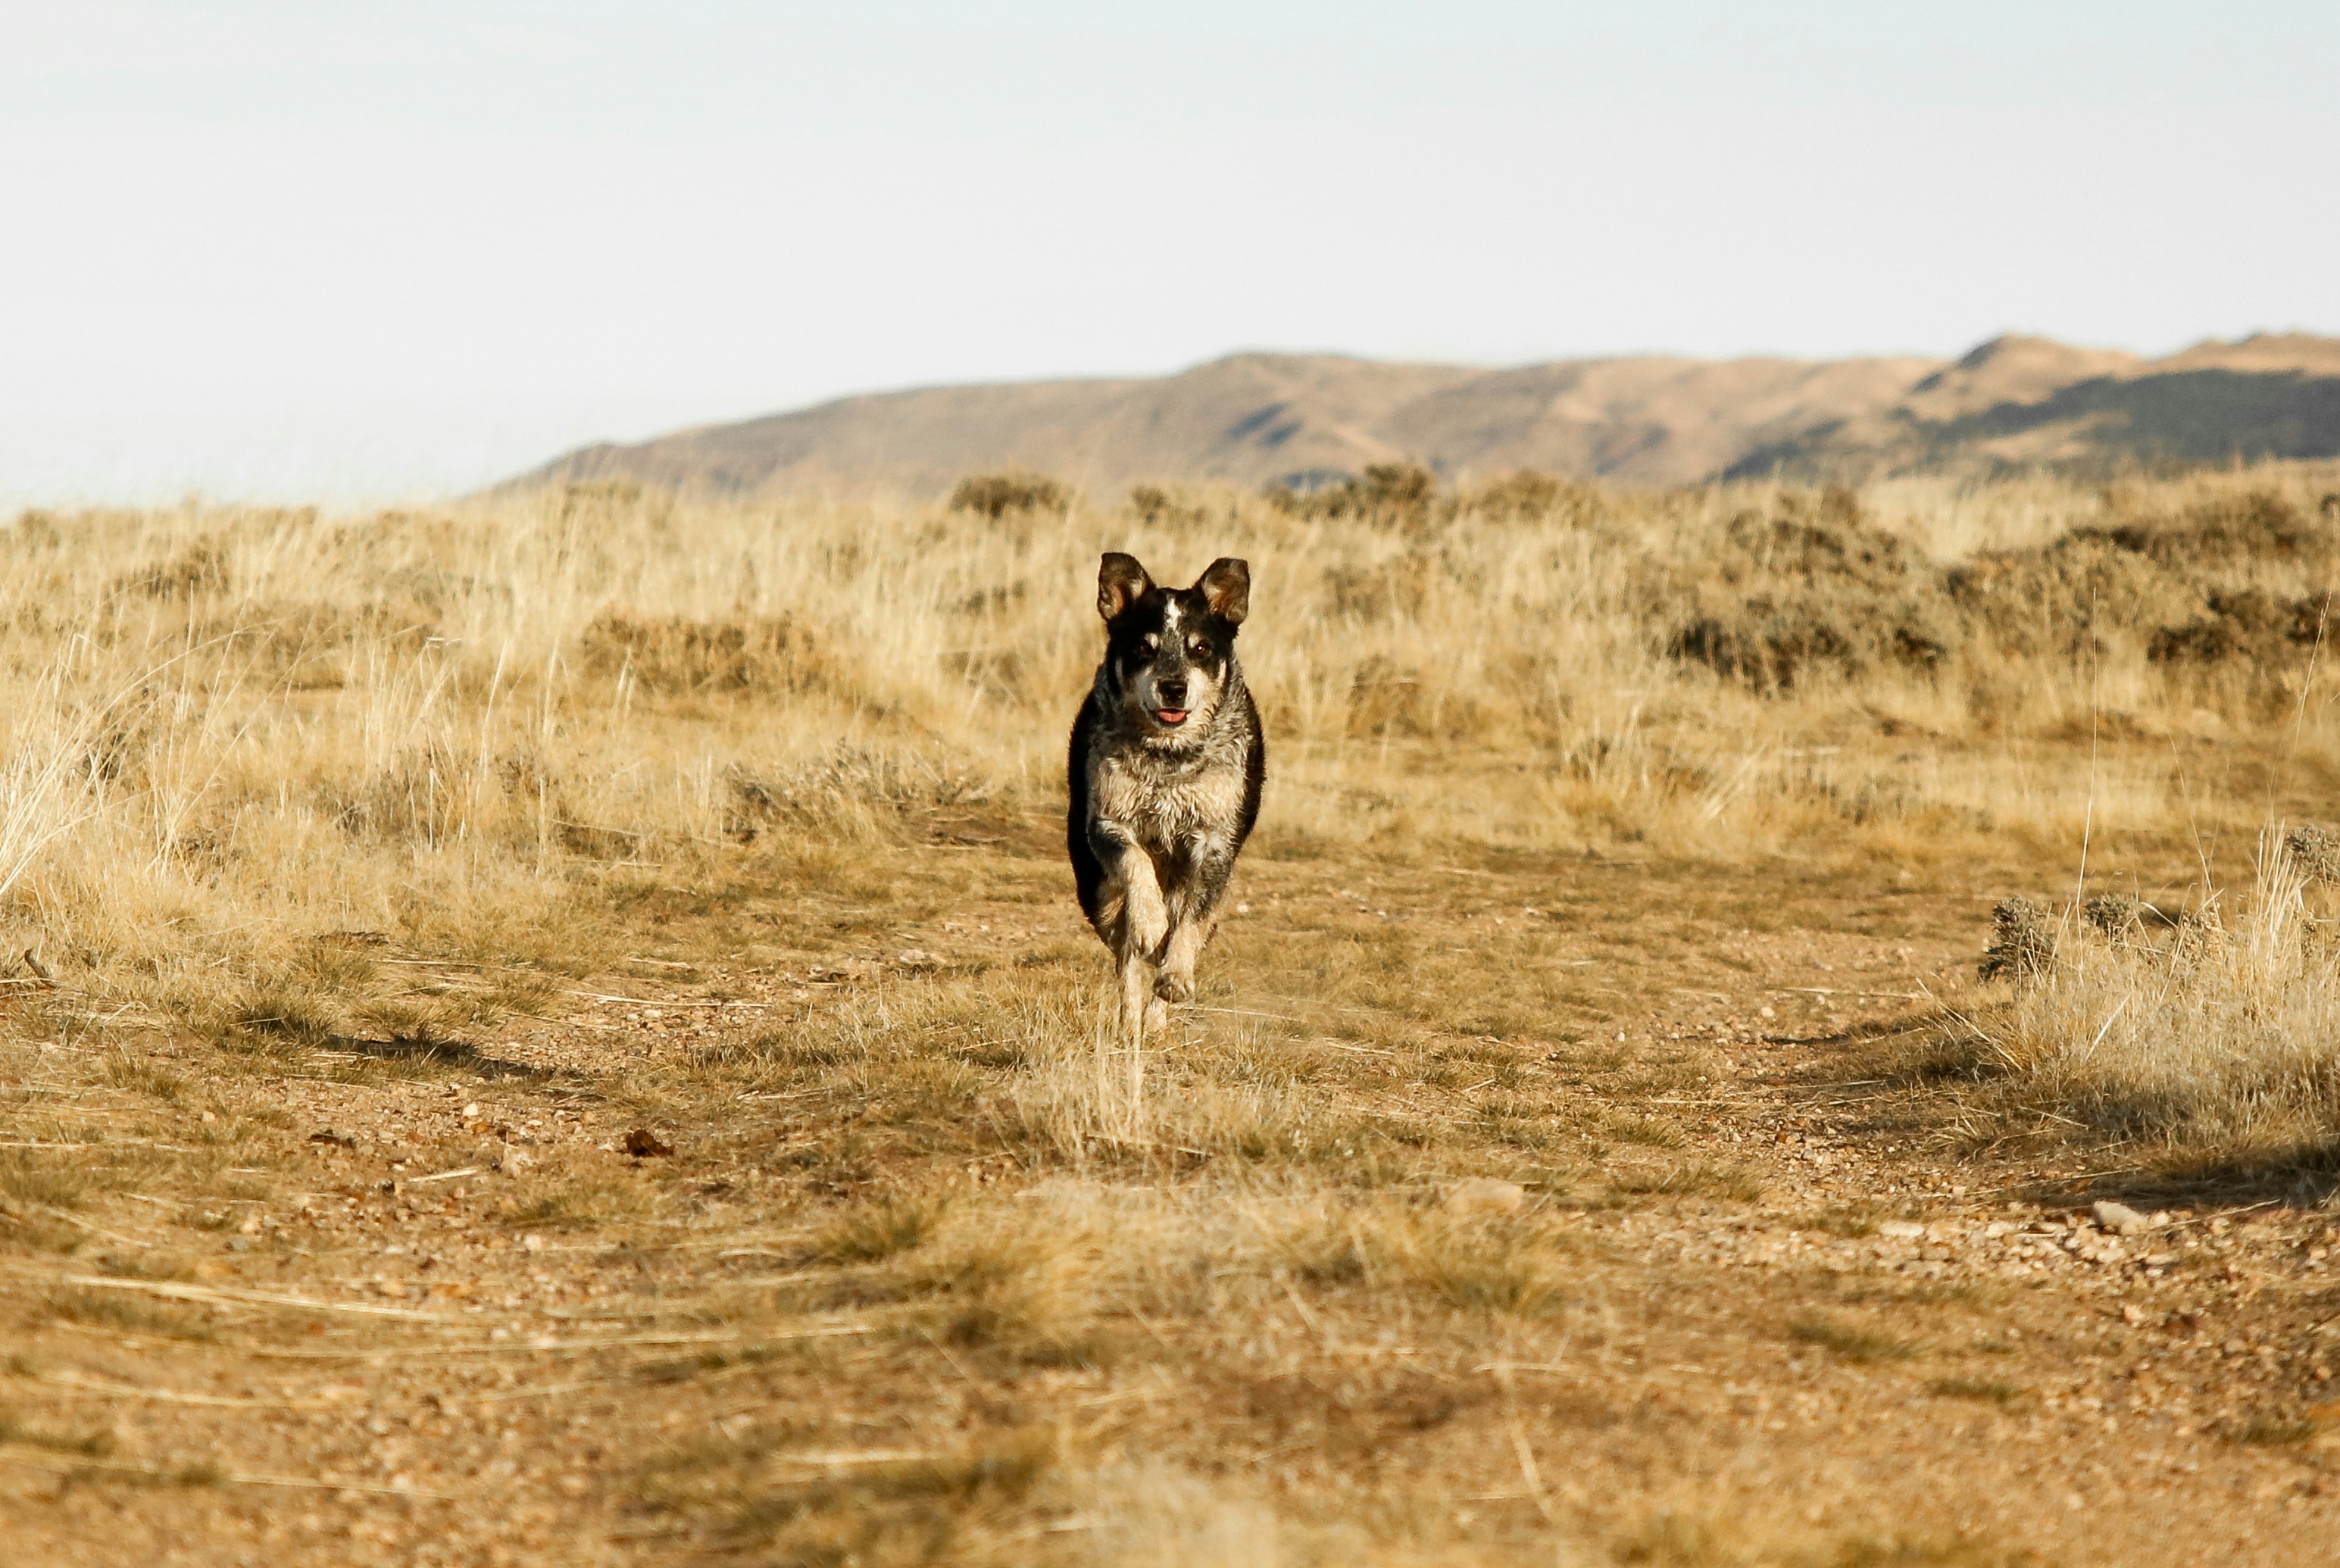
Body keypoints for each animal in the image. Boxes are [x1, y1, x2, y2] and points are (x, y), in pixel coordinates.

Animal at [1071, 559, 1273, 1039]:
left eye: (1200, 648)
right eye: (1144, 648)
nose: (1173, 687)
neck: (1170, 758)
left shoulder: (1215, 842)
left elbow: (1190, 923)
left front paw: (1177, 977)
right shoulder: (1107, 821)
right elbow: (1134, 862)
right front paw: (1149, 919)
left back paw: (1158, 1015)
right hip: (1098, 893)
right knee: (1126, 954)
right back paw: (1131, 1020)